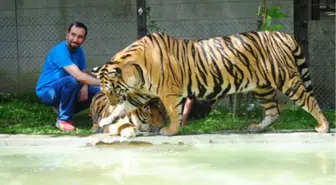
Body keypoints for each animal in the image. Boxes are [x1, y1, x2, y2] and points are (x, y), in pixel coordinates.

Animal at [95, 30, 330, 136]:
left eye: (111, 89)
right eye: (105, 92)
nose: (109, 100)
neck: (137, 71)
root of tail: (282, 33)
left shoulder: (170, 93)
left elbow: (174, 113)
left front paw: (170, 130)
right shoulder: (140, 93)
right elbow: (122, 108)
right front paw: (106, 120)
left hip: (287, 80)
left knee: (310, 101)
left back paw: (324, 126)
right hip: (262, 87)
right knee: (274, 111)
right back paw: (256, 127)